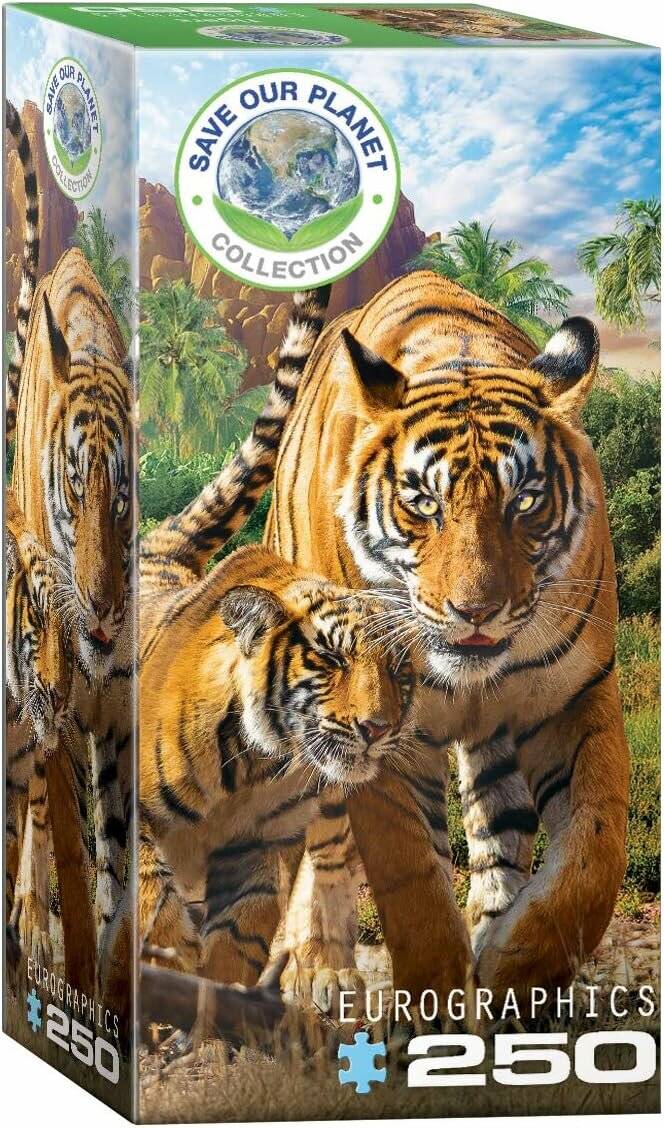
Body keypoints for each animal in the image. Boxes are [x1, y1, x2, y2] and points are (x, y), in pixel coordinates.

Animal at [262, 269, 629, 1004]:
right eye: (422, 503)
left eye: (525, 500)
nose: (475, 611)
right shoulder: (378, 735)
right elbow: (413, 885)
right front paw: (435, 1002)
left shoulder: (578, 695)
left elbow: (594, 854)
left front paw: (516, 968)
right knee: (322, 840)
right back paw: (320, 969)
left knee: (498, 828)